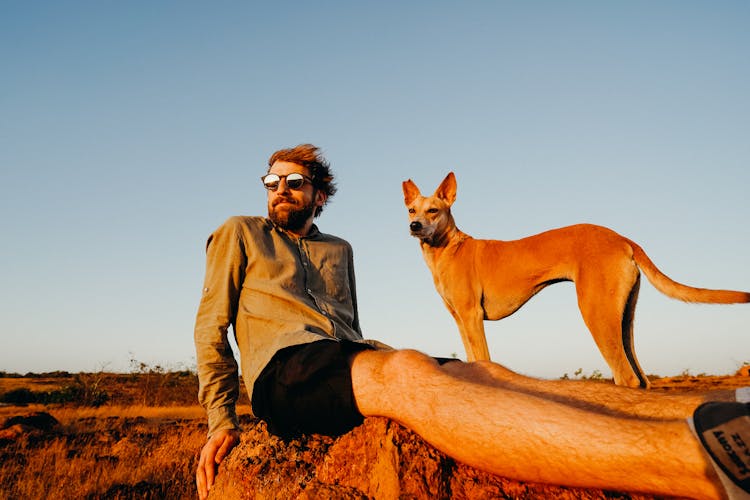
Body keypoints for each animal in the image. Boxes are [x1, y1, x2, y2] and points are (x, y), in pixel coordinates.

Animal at [406, 172, 750, 386]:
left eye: (433, 210)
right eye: (411, 209)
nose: (414, 226)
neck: (446, 249)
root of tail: (622, 238)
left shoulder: (472, 316)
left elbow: (484, 360)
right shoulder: (461, 320)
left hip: (596, 313)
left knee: (626, 377)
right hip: (622, 319)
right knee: (641, 379)